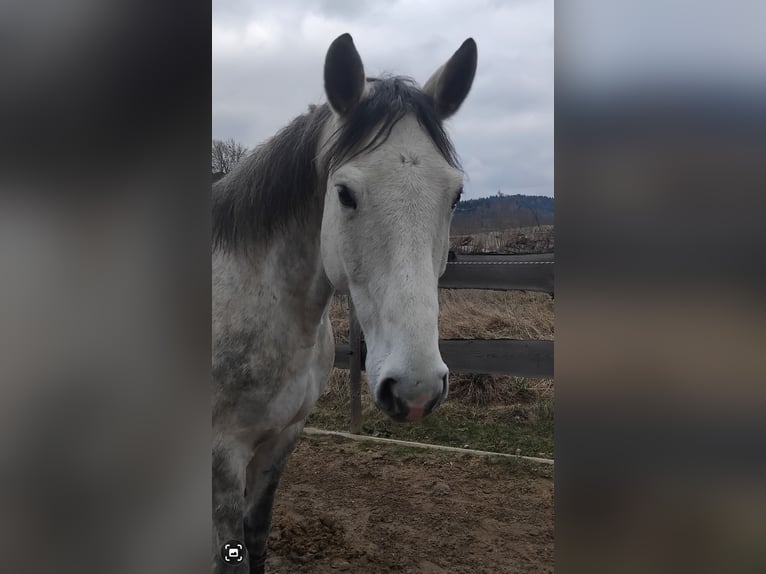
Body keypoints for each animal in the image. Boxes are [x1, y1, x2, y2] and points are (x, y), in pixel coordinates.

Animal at [212, 33, 477, 573]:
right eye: (345, 193)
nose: (415, 389)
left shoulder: (281, 441)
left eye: (456, 195)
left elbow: (257, 537)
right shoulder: (222, 456)